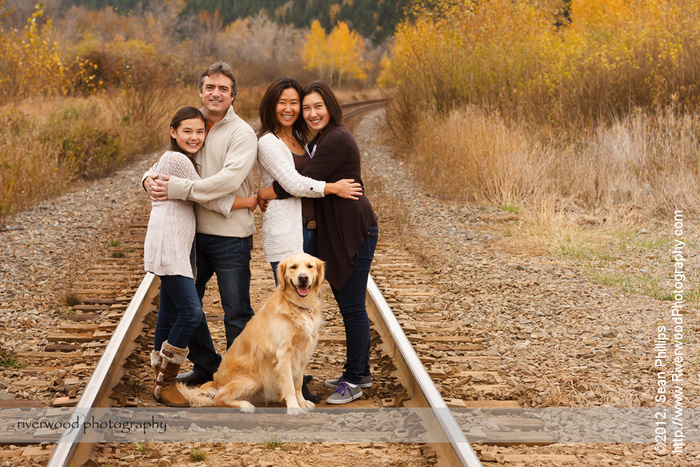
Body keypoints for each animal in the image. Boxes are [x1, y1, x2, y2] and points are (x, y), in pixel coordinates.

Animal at [179, 254, 324, 414]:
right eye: (293, 267)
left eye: (310, 266)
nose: (303, 277)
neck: (298, 306)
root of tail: (215, 382)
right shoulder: (284, 354)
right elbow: (290, 385)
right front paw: (294, 408)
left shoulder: (303, 353)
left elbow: (298, 382)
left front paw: (302, 402)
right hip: (253, 380)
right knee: (220, 398)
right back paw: (245, 405)